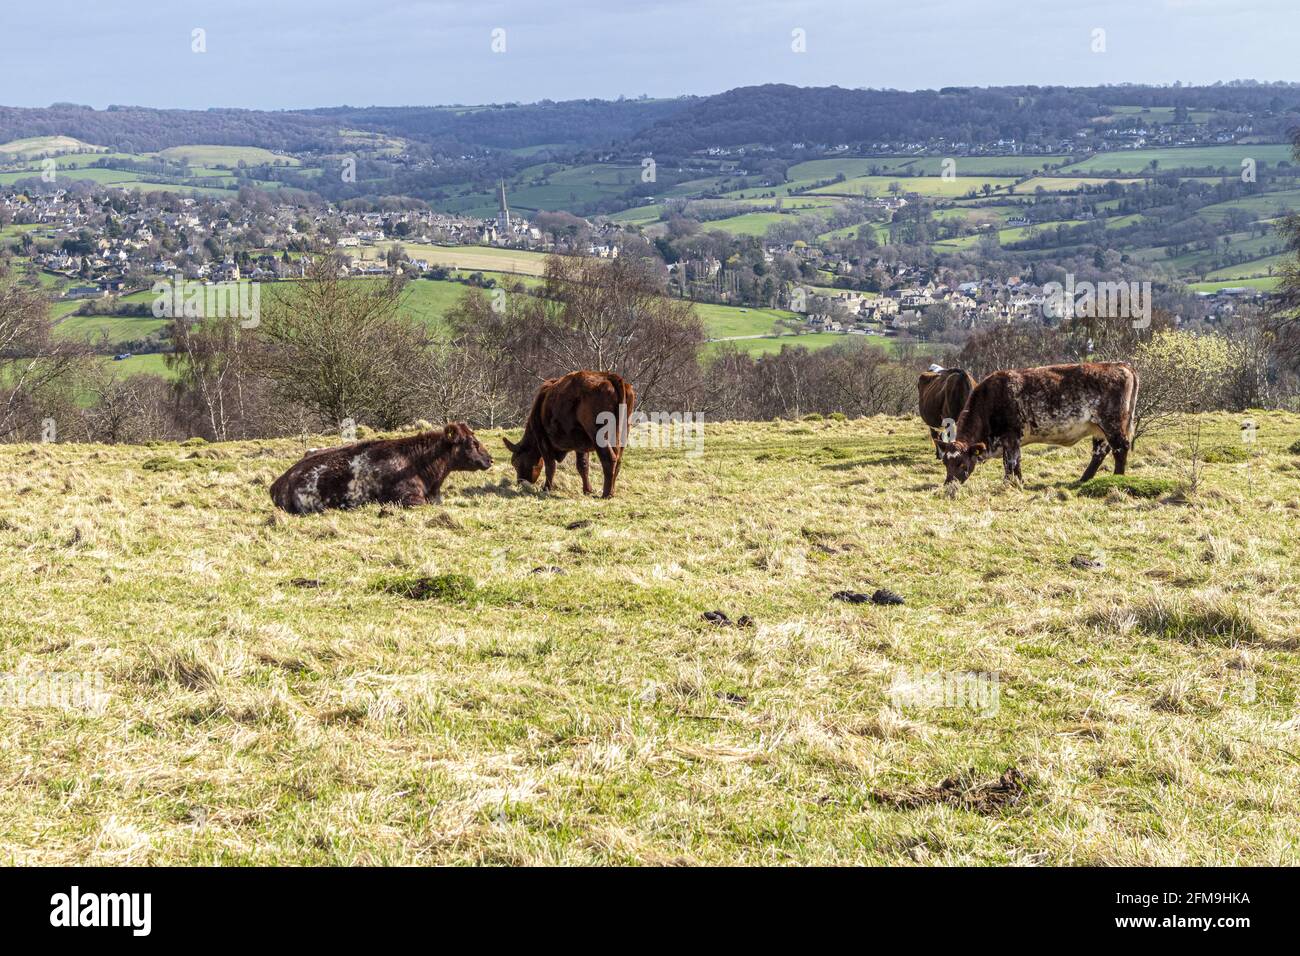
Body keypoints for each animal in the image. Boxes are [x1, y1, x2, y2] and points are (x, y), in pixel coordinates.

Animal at [501, 369, 634, 496]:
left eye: (515, 462)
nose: (520, 483)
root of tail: (609, 376)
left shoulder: (543, 440)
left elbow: (550, 466)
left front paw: (546, 488)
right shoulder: (580, 444)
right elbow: (582, 466)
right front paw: (587, 490)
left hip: (598, 434)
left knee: (609, 459)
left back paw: (606, 494)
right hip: (622, 434)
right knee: (618, 460)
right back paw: (612, 491)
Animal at [935, 361, 1138, 489]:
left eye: (962, 463)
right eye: (946, 462)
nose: (948, 486)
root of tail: (1121, 365)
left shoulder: (1011, 436)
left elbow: (1010, 462)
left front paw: (1009, 483)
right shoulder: (1011, 441)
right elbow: (1014, 462)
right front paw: (1018, 482)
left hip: (1112, 423)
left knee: (1120, 448)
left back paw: (1118, 479)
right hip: (1098, 428)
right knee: (1099, 452)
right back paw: (1083, 480)